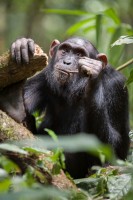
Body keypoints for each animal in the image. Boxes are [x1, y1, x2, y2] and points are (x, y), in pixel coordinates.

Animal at [10, 37, 130, 178]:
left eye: (79, 55)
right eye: (65, 51)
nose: (67, 62)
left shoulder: (116, 86)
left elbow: (115, 148)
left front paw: (93, 75)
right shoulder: (45, 75)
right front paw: (22, 45)